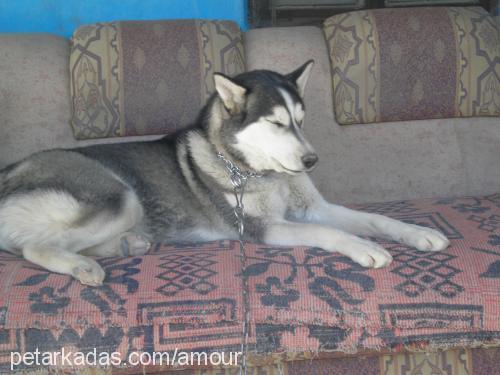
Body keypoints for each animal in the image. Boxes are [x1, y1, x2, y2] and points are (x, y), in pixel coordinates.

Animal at [0, 61, 450, 284]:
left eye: (301, 120)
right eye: (276, 123)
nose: (311, 161)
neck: (256, 172)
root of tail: (12, 168)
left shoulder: (313, 208)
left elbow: (374, 218)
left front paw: (416, 232)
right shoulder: (261, 229)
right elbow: (330, 233)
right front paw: (362, 246)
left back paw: (124, 245)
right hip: (120, 197)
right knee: (31, 247)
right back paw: (83, 266)